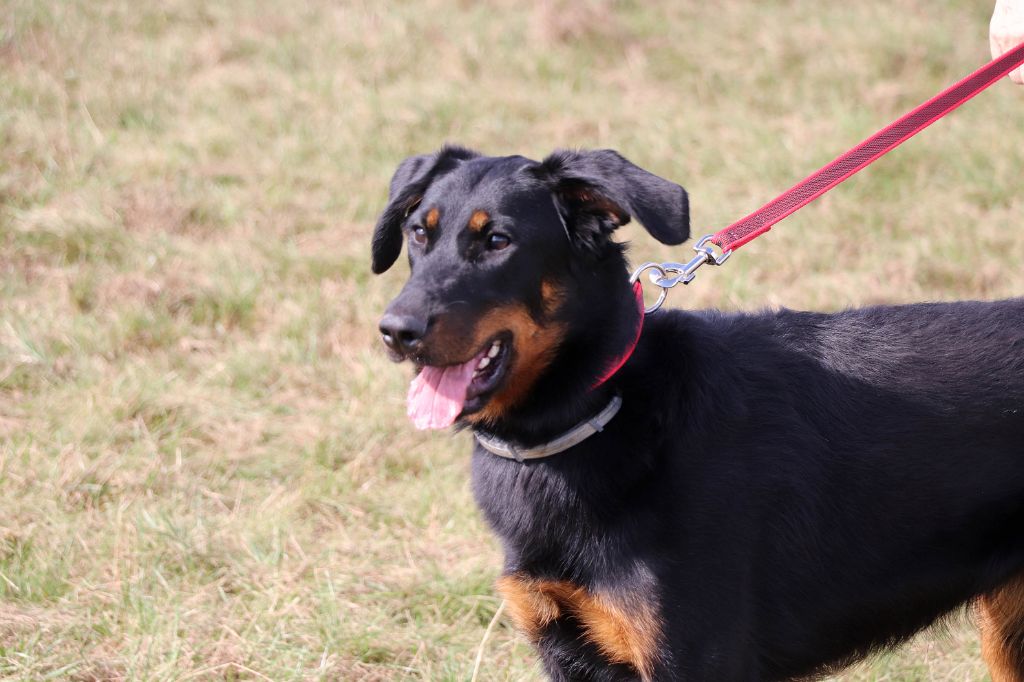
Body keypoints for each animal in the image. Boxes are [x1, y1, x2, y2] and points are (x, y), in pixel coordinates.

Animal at [372, 146, 1024, 675]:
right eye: (418, 233)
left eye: (498, 241)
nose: (395, 331)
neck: (603, 408)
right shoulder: (569, 649)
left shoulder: (692, 655)